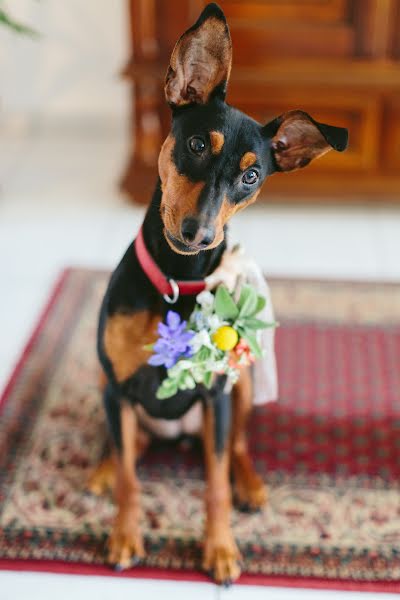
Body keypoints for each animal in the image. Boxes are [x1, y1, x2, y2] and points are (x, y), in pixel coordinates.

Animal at [93, 2, 346, 584]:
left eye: (252, 177)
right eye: (192, 145)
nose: (198, 234)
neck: (175, 283)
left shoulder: (215, 395)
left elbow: (213, 484)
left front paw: (222, 548)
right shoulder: (118, 387)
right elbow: (131, 480)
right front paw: (125, 535)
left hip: (242, 383)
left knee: (236, 447)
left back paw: (249, 484)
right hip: (108, 388)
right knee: (126, 448)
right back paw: (102, 468)